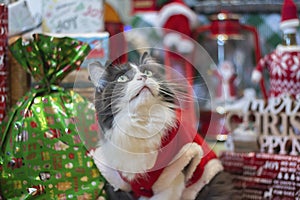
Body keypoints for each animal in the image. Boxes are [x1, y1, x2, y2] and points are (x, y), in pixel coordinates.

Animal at [88, 52, 238, 199]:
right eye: (122, 78)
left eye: (148, 73)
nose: (143, 77)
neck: (142, 124)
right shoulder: (119, 184)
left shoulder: (171, 179)